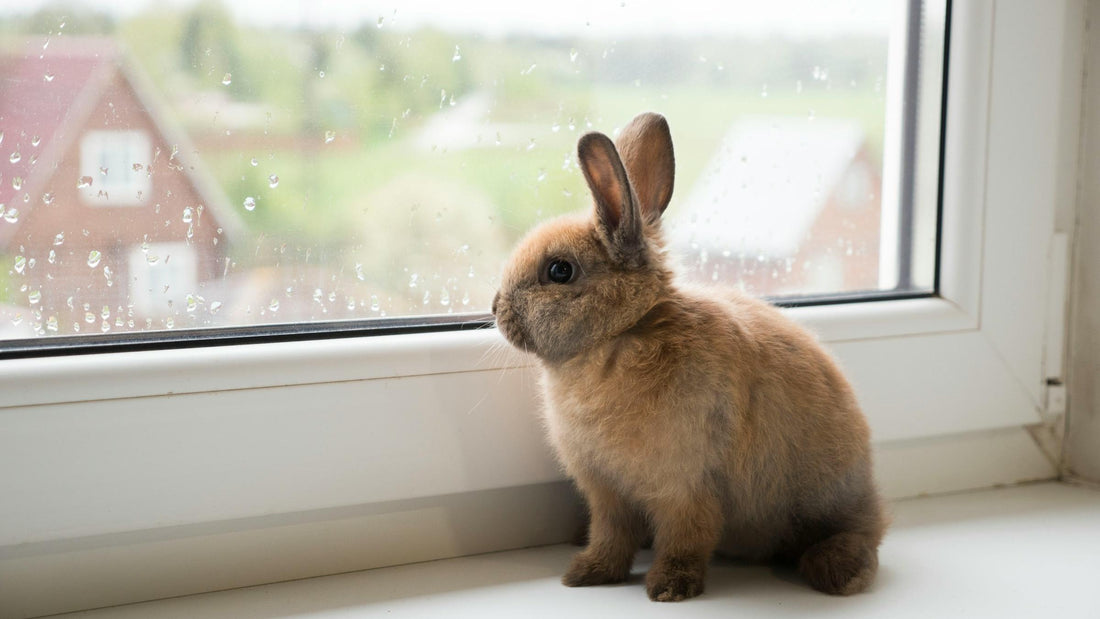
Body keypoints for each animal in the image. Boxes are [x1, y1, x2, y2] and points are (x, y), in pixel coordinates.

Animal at [492, 112, 886, 602]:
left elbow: (687, 537)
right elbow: (610, 535)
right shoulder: (607, 493)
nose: (495, 308)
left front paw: (669, 587)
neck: (623, 333)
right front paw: (587, 574)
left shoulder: (686, 486)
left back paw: (839, 572)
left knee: (861, 535)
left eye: (559, 270)